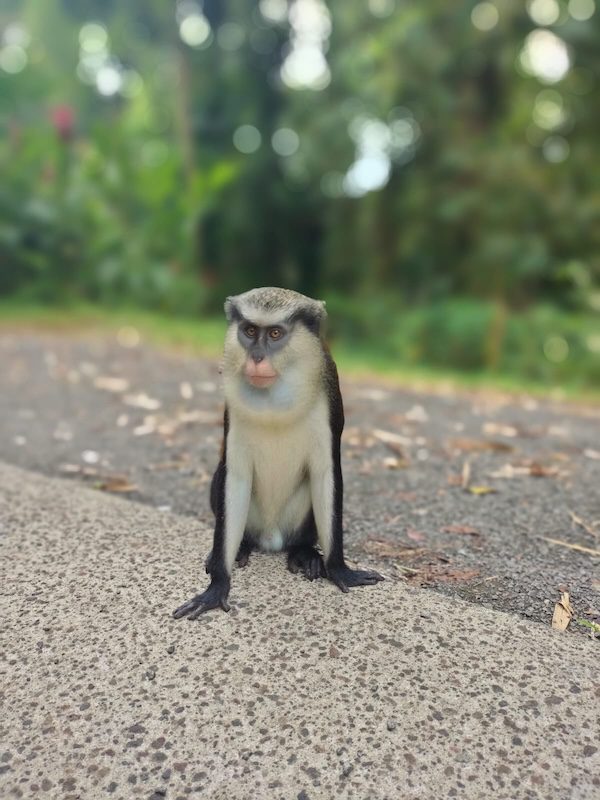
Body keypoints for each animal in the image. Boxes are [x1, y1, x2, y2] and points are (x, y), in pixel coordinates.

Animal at [173, 287, 384, 619]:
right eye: (249, 331)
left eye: (274, 333)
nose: (256, 357)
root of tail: (271, 538)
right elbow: (235, 477)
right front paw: (217, 586)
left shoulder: (329, 394)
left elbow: (325, 474)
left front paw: (339, 569)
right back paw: (243, 546)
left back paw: (304, 552)